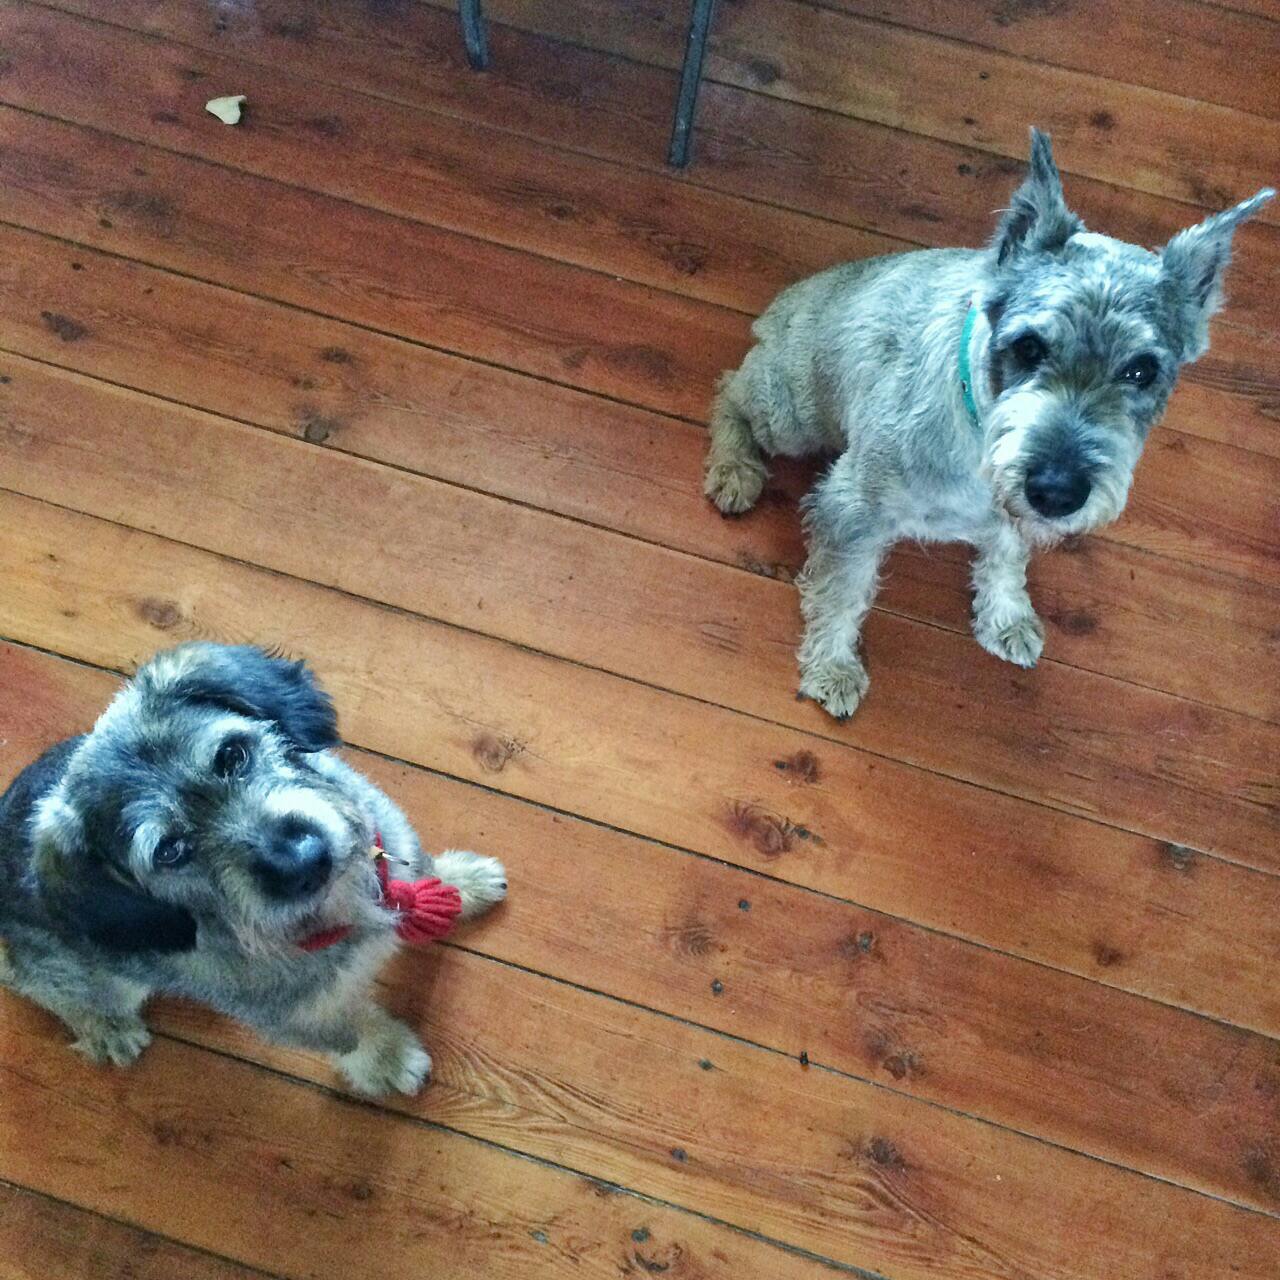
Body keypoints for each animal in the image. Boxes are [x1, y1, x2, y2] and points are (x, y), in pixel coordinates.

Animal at [0, 643, 507, 1096]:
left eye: (231, 755)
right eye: (169, 851)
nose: (306, 860)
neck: (344, 907)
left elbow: (418, 869)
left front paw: (459, 883)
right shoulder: (304, 1019)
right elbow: (352, 1033)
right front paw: (387, 1059)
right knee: (43, 985)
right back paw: (106, 1028)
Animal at [705, 129, 1273, 719]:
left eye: (1142, 370)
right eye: (1028, 346)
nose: (1057, 490)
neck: (978, 433)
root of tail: (784, 302)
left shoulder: (1013, 512)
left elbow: (1006, 555)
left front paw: (1006, 617)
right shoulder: (854, 512)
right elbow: (841, 593)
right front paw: (832, 666)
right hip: (791, 415)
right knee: (730, 388)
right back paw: (734, 469)